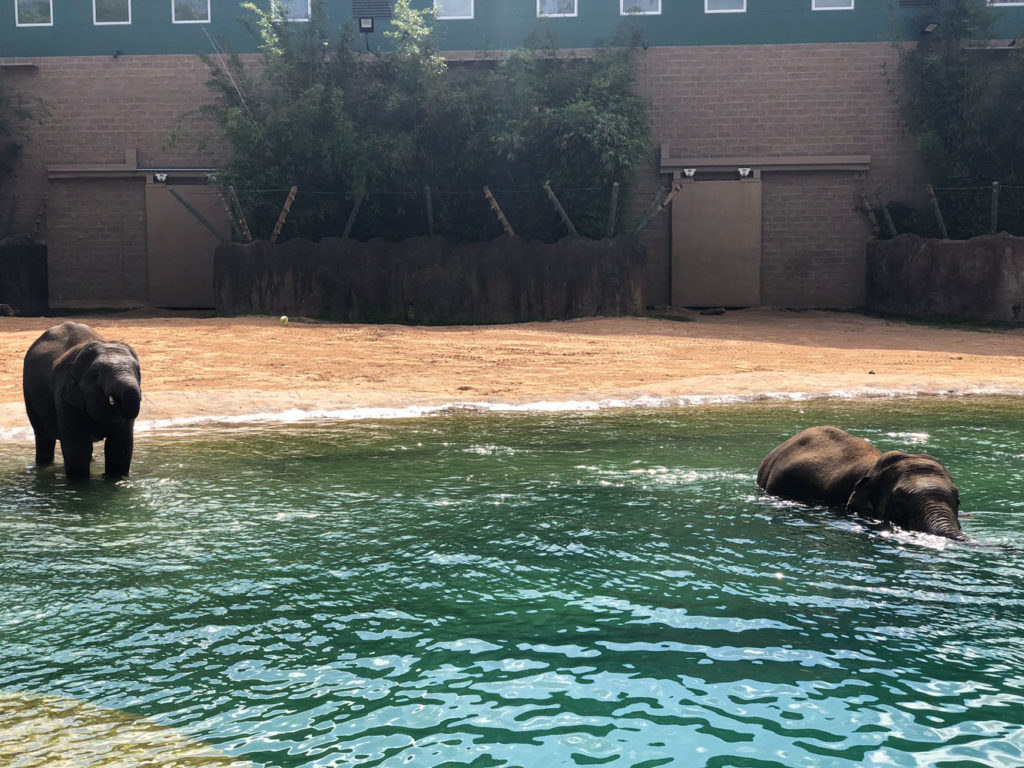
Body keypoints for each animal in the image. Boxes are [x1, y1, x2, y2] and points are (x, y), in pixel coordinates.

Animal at [23, 321, 142, 480]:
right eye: (96, 375)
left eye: (138, 371)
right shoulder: (64, 395)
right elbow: (78, 448)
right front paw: (80, 483)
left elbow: (119, 446)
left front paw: (113, 480)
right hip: (29, 394)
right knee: (43, 437)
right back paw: (43, 468)